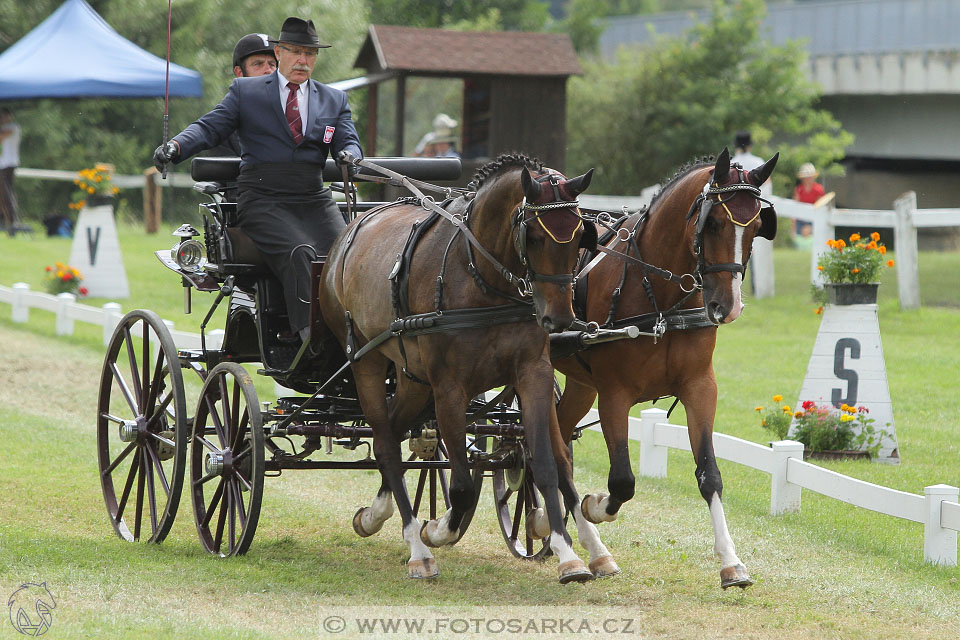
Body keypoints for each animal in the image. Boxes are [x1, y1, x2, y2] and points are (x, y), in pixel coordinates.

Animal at [318, 154, 620, 580]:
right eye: (534, 237)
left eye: (581, 236)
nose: (559, 319)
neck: (482, 278)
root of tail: (351, 230)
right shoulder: (449, 388)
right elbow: (460, 485)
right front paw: (436, 528)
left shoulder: (533, 375)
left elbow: (545, 464)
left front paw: (569, 556)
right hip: (368, 362)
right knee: (387, 445)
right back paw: (417, 548)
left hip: (413, 379)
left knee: (389, 434)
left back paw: (376, 515)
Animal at [556, 148, 780, 588]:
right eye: (713, 222)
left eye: (757, 227)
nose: (727, 307)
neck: (657, 294)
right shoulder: (614, 395)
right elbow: (622, 481)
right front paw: (596, 505)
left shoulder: (700, 387)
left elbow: (710, 474)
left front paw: (732, 563)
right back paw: (586, 548)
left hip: (579, 384)